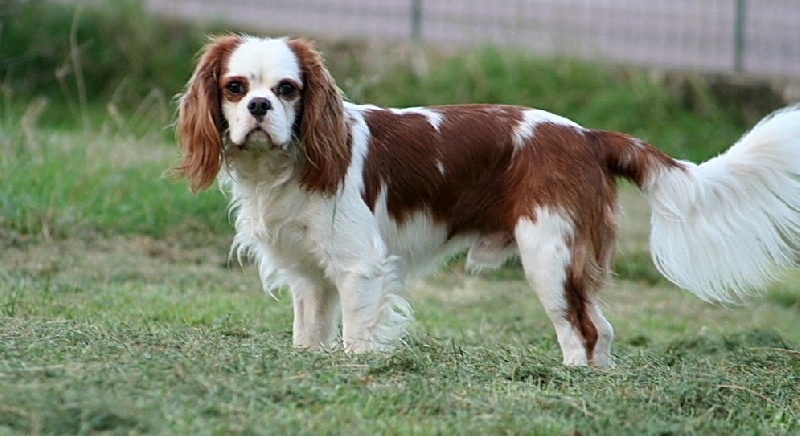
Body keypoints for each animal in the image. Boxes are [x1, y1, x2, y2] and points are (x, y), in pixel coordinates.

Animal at [175, 34, 800, 366]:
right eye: (235, 87)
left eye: (287, 90)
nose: (259, 108)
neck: (284, 166)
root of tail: (587, 136)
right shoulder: (309, 277)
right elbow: (310, 336)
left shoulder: (359, 270)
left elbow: (356, 340)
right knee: (602, 329)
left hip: (550, 257)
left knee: (582, 331)